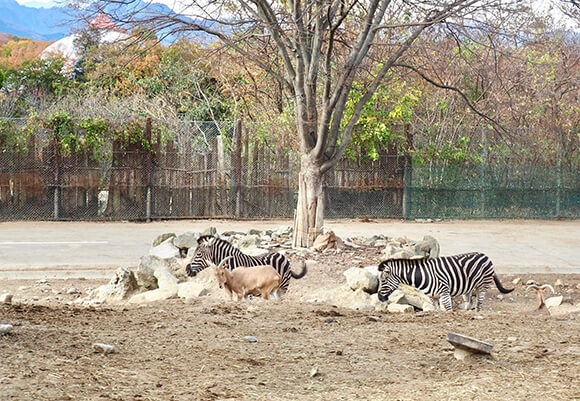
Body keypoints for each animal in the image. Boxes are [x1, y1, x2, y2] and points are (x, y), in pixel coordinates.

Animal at [378, 252, 516, 310]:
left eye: (383, 280)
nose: (379, 297)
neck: (424, 275)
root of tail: (485, 255)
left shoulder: (444, 293)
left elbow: (448, 310)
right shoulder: (434, 297)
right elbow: (438, 310)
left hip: (483, 285)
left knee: (479, 304)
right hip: (468, 288)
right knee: (470, 302)